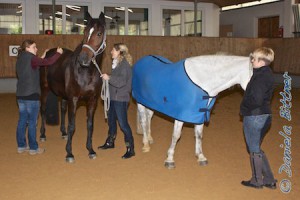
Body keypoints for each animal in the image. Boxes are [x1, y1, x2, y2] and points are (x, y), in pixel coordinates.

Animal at [39, 11, 106, 162]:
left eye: (99, 33)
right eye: (85, 31)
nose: (83, 59)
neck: (86, 73)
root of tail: (47, 53)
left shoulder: (92, 100)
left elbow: (90, 125)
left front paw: (90, 150)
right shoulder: (74, 100)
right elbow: (72, 125)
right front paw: (69, 153)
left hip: (63, 96)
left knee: (63, 110)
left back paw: (63, 133)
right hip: (45, 89)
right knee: (43, 110)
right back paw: (42, 135)